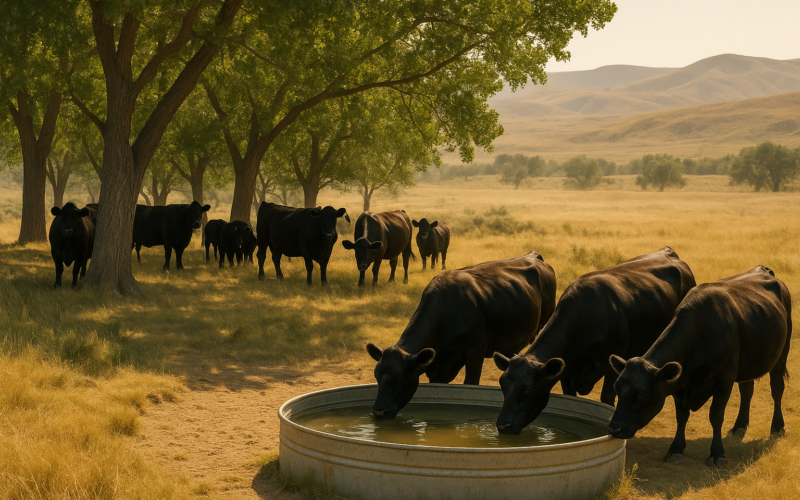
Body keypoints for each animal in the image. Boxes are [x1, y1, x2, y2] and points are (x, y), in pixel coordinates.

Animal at [366, 251, 557, 419]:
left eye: (399, 378)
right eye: (376, 375)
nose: (379, 412)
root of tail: (533, 255)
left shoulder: (476, 350)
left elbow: (471, 383)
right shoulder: (436, 368)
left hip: (543, 323)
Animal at [493, 247, 696, 435]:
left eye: (527, 388)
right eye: (502, 383)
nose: (503, 426)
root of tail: (668, 252)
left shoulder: (613, 366)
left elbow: (607, 399)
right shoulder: (567, 372)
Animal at [607, 266, 792, 468]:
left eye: (642, 392)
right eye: (617, 387)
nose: (614, 428)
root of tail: (763, 269)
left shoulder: (724, 380)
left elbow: (716, 416)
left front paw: (717, 454)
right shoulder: (680, 384)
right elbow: (681, 416)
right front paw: (676, 449)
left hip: (782, 353)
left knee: (777, 389)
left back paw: (777, 427)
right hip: (748, 361)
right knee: (747, 390)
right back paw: (740, 426)